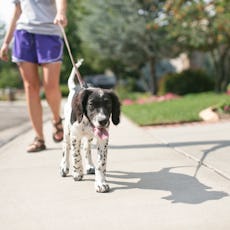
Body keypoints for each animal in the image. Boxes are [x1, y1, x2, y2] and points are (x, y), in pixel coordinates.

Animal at [59, 61, 120, 192]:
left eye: (108, 104)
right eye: (91, 104)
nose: (103, 121)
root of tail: (74, 88)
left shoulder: (103, 140)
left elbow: (101, 163)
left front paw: (101, 183)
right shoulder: (75, 136)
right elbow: (76, 155)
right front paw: (77, 173)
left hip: (90, 137)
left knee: (86, 148)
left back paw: (89, 166)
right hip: (67, 131)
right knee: (66, 147)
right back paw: (64, 167)